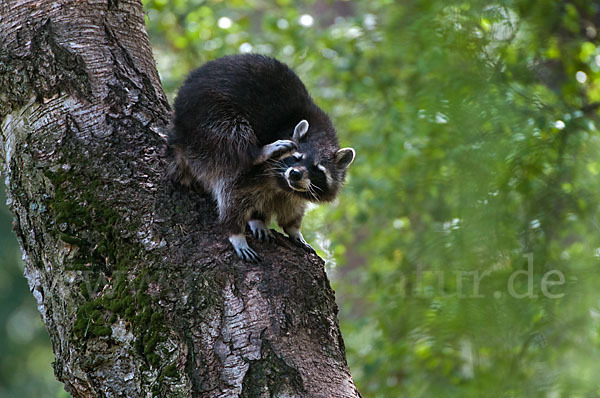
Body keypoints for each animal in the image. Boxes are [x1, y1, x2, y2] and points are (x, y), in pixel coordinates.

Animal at [166, 54, 354, 262]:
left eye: (317, 169)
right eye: (296, 158)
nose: (295, 174)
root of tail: (178, 129)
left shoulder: (296, 189)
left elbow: (293, 206)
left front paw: (291, 227)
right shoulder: (255, 173)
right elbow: (233, 193)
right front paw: (235, 231)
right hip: (206, 114)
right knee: (232, 134)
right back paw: (257, 152)